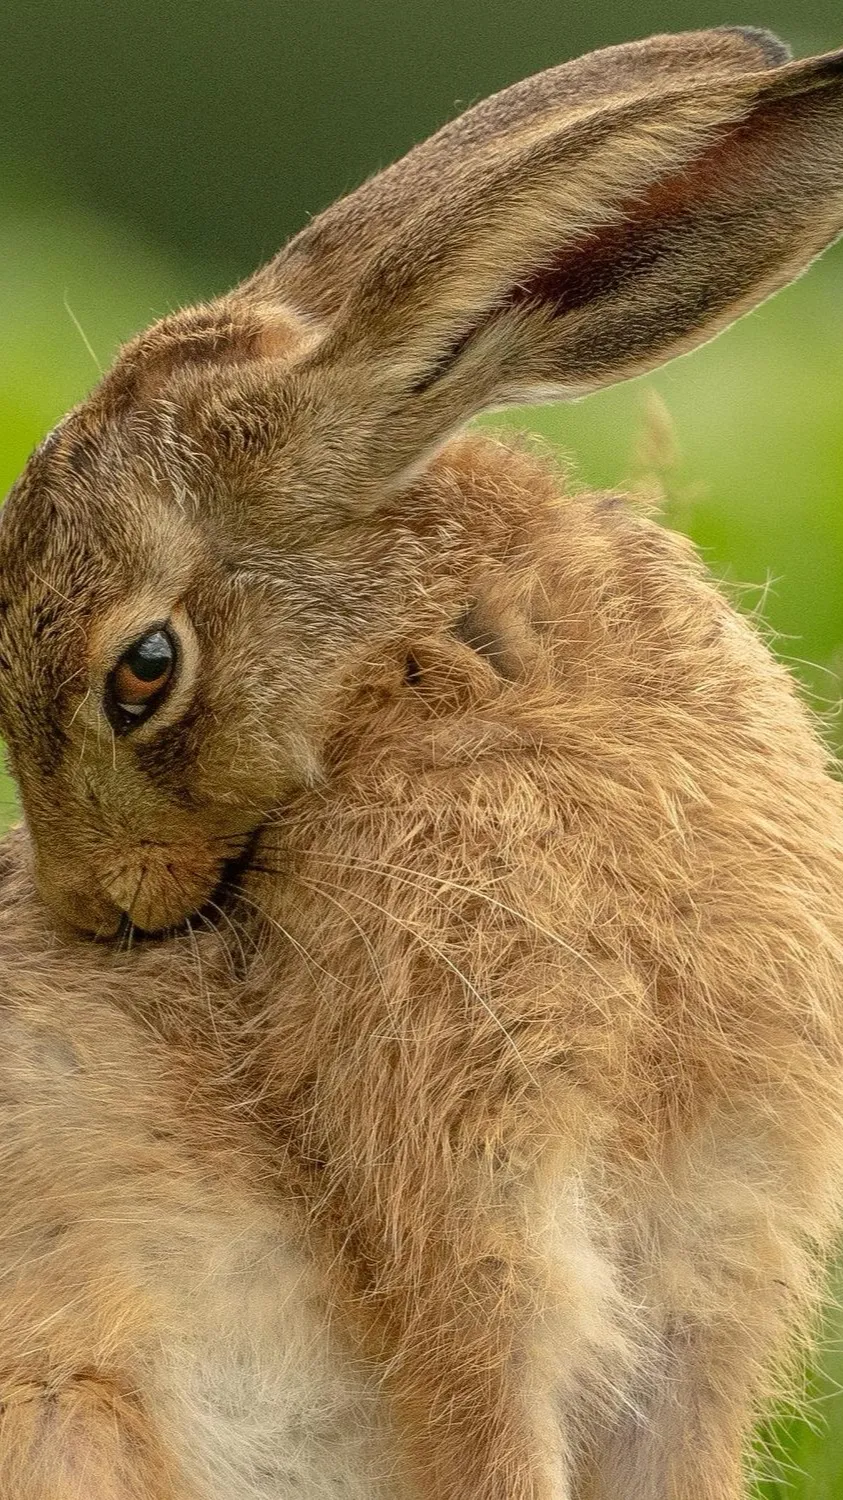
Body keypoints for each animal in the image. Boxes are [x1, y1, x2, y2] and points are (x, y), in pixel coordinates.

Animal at [0, 21, 842, 1500]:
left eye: (142, 672)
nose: (88, 912)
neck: (427, 645)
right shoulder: (470, 1195)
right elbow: (484, 1405)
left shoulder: (712, 1242)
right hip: (70, 1418)